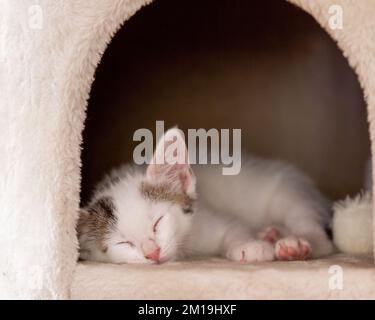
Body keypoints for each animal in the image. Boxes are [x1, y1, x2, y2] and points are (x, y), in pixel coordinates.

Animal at [78, 129, 334, 264]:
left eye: (158, 222)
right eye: (123, 243)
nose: (153, 253)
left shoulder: (205, 217)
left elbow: (234, 228)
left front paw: (248, 246)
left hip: (289, 193)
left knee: (319, 236)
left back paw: (295, 246)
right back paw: (272, 234)